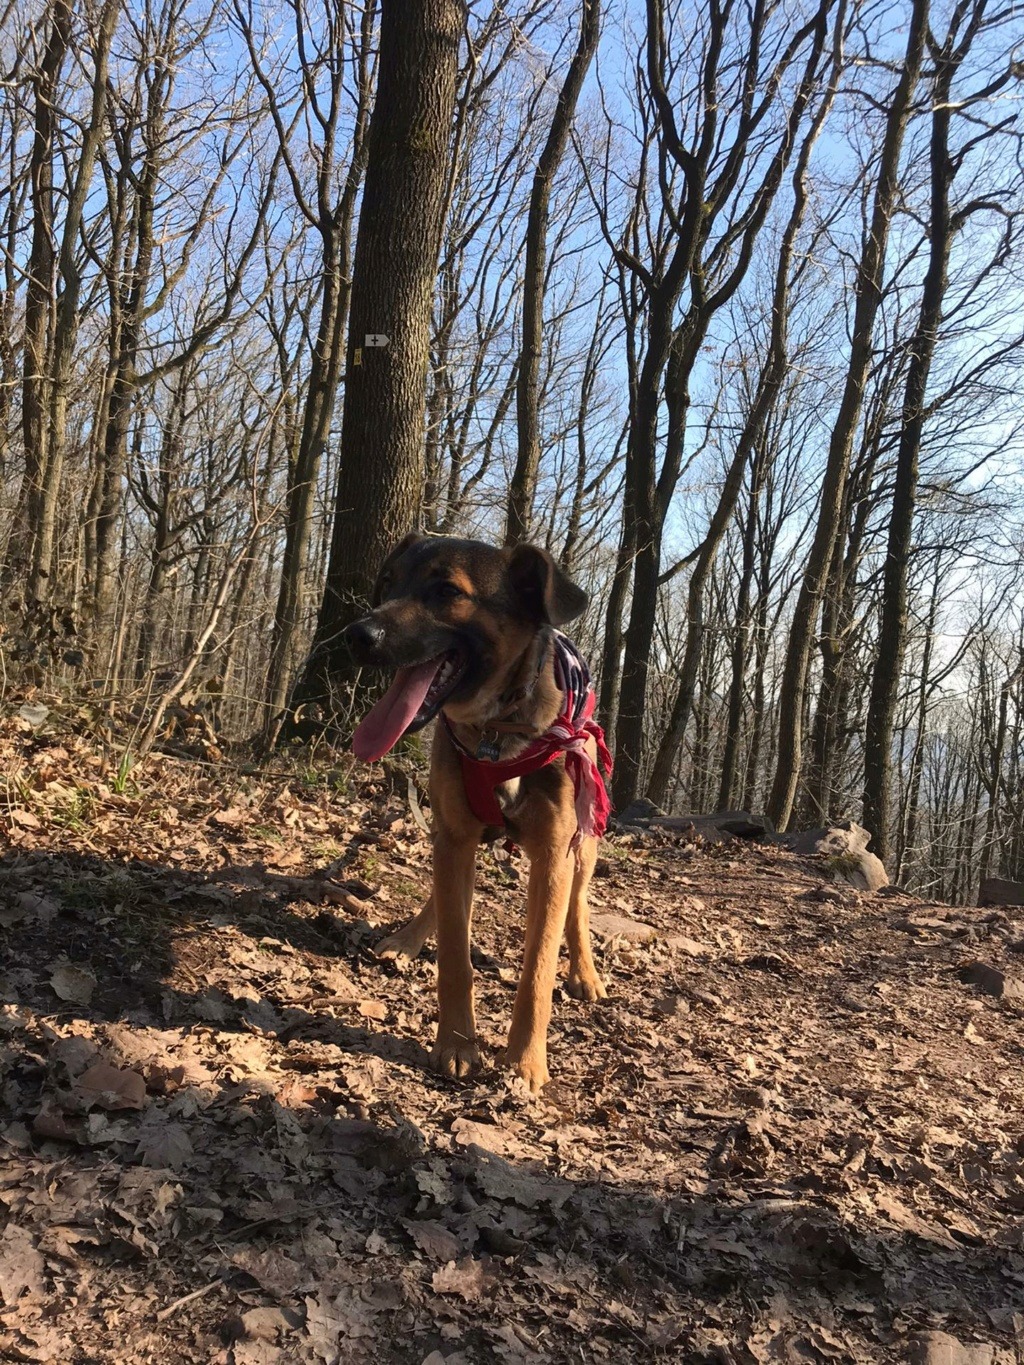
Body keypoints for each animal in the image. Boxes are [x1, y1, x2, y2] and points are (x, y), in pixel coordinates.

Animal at [349, 529, 614, 1086]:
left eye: (448, 591)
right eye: (388, 581)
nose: (356, 635)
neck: (496, 731)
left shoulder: (554, 856)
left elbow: (538, 969)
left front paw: (526, 1063)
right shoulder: (454, 834)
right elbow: (455, 952)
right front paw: (456, 1043)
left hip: (585, 838)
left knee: (579, 905)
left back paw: (584, 972)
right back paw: (408, 938)